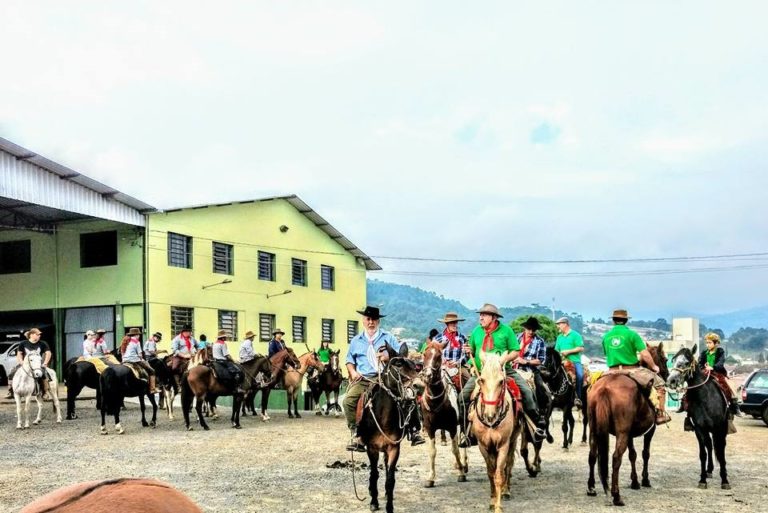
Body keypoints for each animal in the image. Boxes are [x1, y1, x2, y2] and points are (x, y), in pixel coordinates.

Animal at [356, 348, 424, 512]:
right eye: (398, 364)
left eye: (415, 366)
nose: (420, 386)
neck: (383, 417)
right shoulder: (372, 448)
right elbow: (374, 474)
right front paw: (374, 502)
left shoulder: (393, 448)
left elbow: (390, 479)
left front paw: (389, 506)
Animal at [420, 342, 468, 486]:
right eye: (424, 354)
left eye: (439, 356)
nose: (427, 375)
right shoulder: (429, 428)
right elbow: (432, 452)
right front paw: (430, 478)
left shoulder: (452, 427)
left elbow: (455, 450)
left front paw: (461, 473)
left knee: (463, 444)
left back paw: (463, 465)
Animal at [472, 352, 524, 512]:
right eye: (481, 380)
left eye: (501, 381)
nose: (490, 415)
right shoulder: (483, 446)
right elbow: (490, 473)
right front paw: (492, 500)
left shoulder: (503, 445)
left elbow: (499, 475)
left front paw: (498, 506)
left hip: (513, 439)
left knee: (509, 464)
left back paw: (506, 491)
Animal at [588, 342, 664, 506]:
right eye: (665, 359)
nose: (664, 372)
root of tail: (604, 388)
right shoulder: (650, 430)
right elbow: (645, 453)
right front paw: (644, 480)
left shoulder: (629, 433)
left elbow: (632, 454)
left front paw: (635, 481)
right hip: (621, 432)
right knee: (616, 458)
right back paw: (616, 496)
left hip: (593, 428)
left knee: (592, 454)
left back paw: (591, 488)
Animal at [664, 346, 732, 490]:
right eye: (674, 360)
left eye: (686, 362)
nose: (671, 381)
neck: (705, 398)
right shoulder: (699, 429)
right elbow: (703, 453)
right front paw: (702, 479)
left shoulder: (720, 428)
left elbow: (721, 452)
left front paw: (725, 480)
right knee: (709, 446)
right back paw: (709, 470)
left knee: (718, 447)